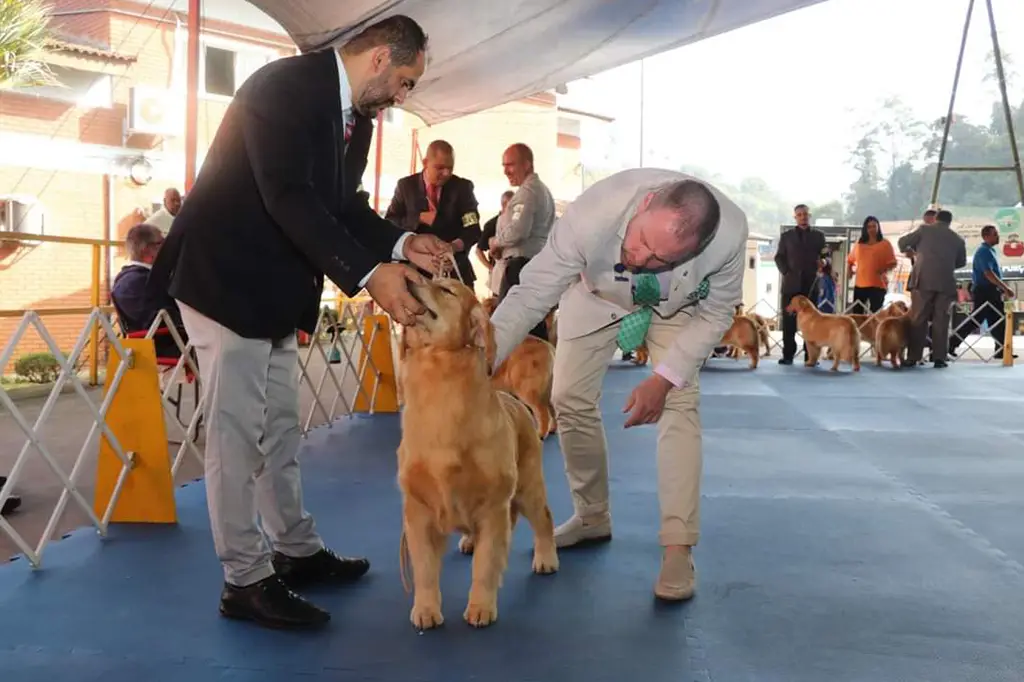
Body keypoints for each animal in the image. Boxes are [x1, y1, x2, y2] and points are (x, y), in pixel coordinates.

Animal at [397, 278, 561, 630]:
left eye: (446, 290)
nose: (409, 279)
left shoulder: (492, 506)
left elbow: (485, 566)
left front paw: (481, 607)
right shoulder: (418, 510)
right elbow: (425, 570)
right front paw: (426, 609)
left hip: (528, 486)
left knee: (543, 518)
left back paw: (546, 557)